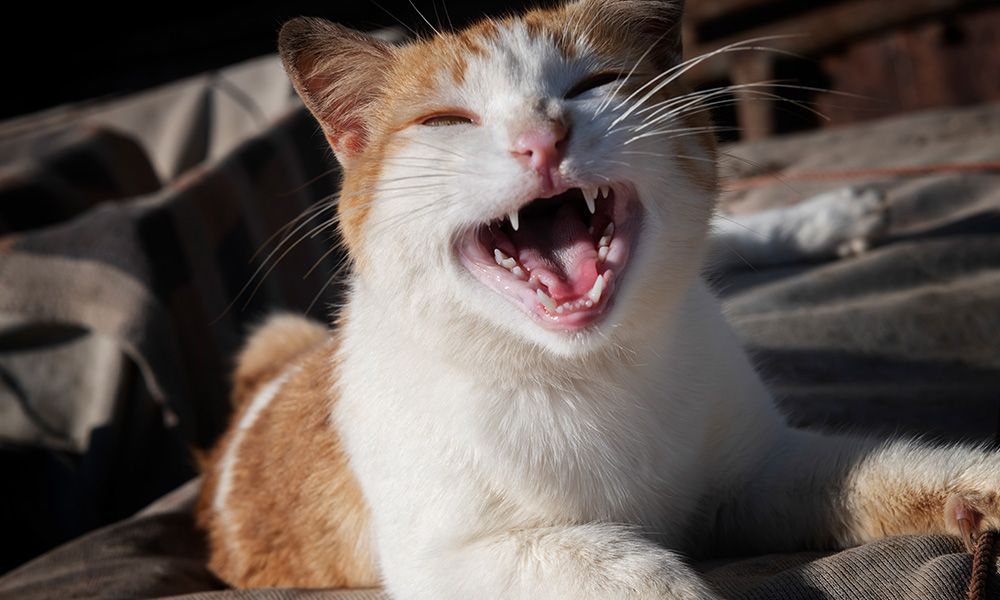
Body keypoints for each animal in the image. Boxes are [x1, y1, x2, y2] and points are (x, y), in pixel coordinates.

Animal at [197, 2, 1000, 596]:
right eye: (445, 121)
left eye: (595, 83)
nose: (541, 137)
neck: (590, 372)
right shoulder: (452, 560)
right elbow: (627, 572)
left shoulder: (762, 471)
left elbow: (905, 468)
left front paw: (980, 487)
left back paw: (833, 216)